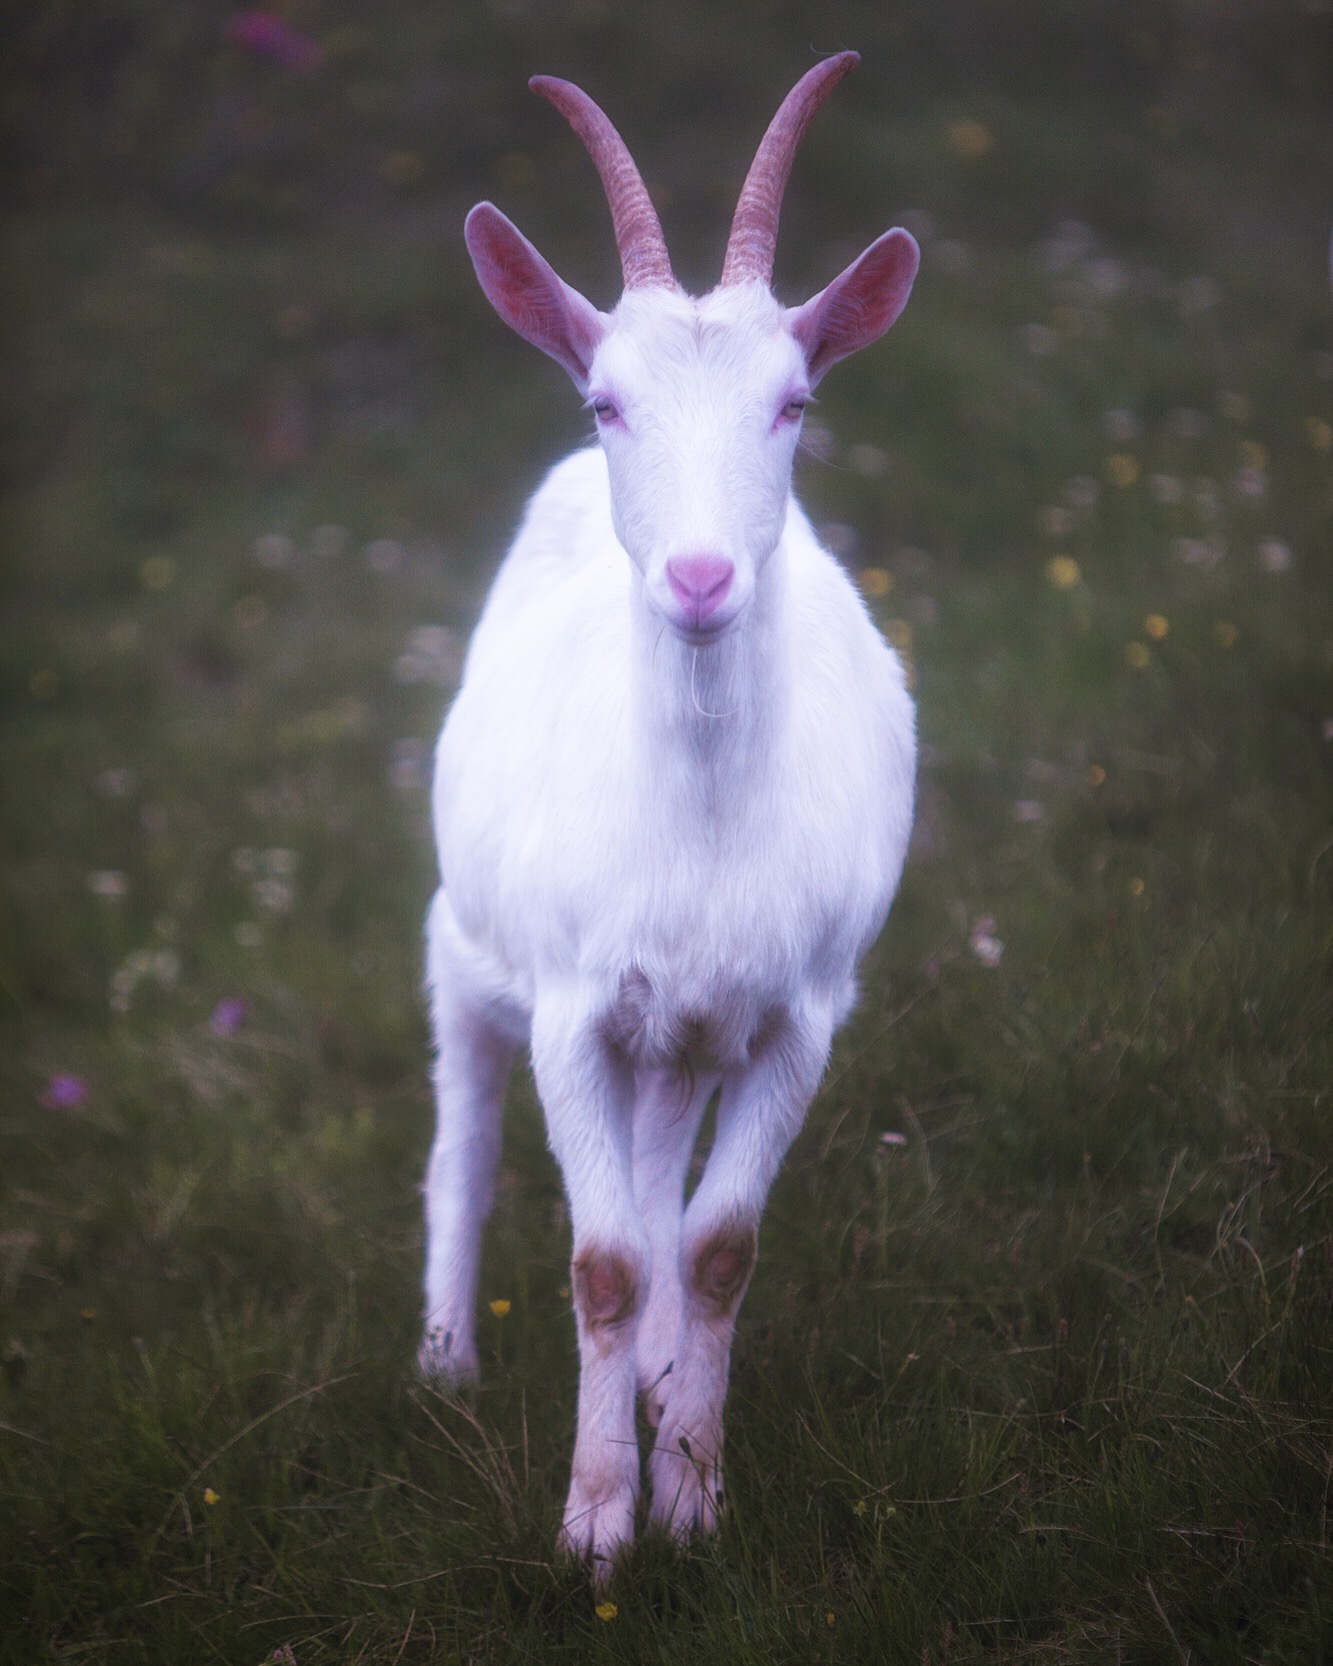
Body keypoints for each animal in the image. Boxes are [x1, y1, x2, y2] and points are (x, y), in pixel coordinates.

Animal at [416, 55, 919, 1572]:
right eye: (605, 401)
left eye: (794, 401)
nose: (699, 579)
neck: (696, 811)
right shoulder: (574, 1005)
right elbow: (602, 1259)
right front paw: (594, 1523)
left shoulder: (797, 1012)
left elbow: (707, 1246)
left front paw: (691, 1495)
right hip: (464, 949)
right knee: (465, 1141)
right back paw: (445, 1363)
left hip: (687, 1031)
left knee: (655, 1158)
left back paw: (649, 1378)